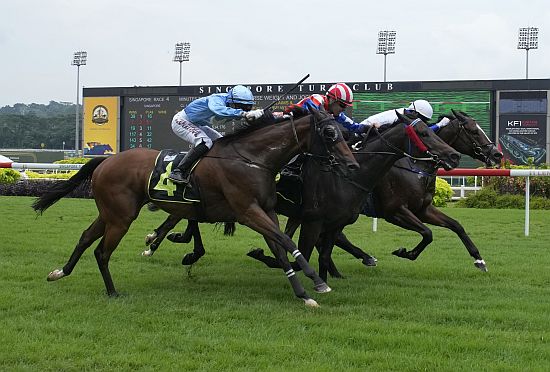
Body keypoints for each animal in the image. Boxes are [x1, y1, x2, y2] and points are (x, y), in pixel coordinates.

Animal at [34, 108, 362, 308]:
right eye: (330, 134)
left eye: (343, 133)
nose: (352, 165)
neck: (252, 159)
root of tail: (106, 160)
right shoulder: (247, 212)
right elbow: (286, 242)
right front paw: (317, 281)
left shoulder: (266, 211)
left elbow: (281, 248)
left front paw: (303, 294)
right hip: (121, 216)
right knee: (101, 251)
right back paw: (113, 291)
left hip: (110, 212)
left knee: (85, 237)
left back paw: (60, 272)